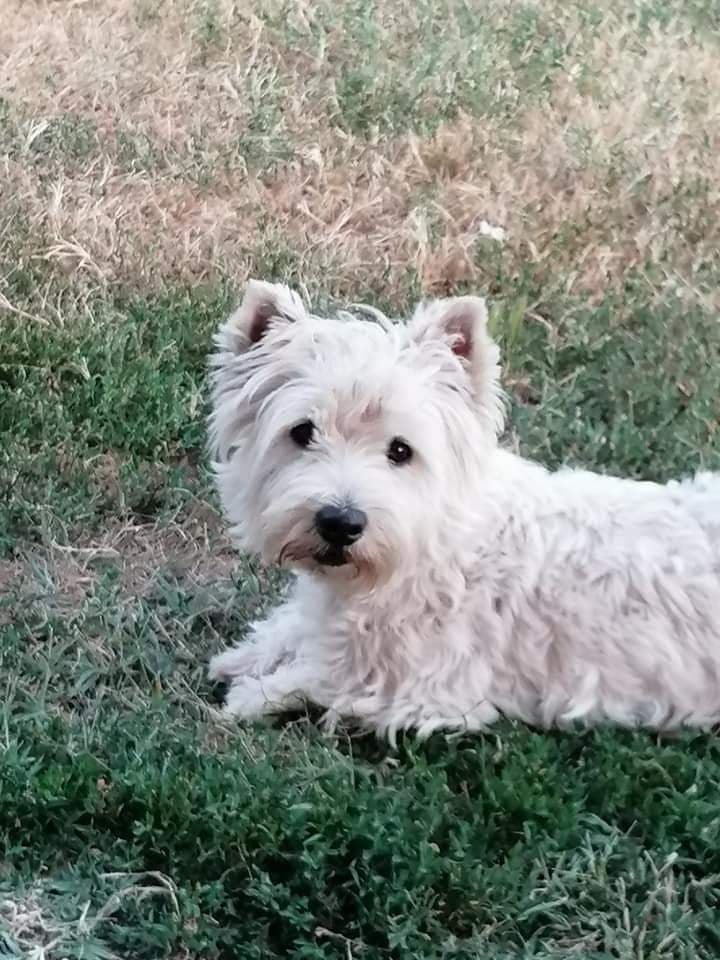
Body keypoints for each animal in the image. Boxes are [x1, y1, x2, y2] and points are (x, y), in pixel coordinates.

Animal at [207, 282, 720, 740]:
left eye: (400, 450)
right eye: (302, 432)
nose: (340, 523)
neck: (430, 543)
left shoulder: (422, 687)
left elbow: (324, 675)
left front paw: (251, 695)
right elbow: (292, 626)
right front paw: (244, 656)